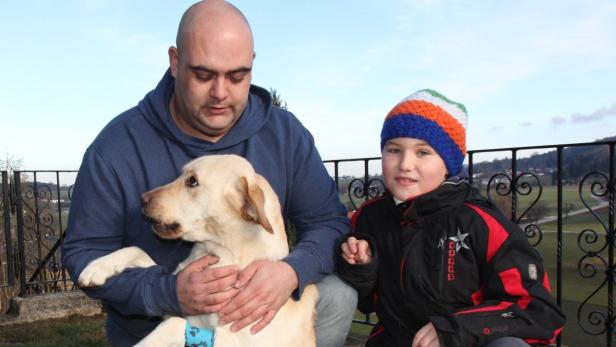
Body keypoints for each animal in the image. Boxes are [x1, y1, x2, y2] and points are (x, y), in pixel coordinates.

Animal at [77, 156, 318, 347]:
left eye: (192, 181)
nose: (141, 199)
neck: (220, 253)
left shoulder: (227, 339)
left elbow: (174, 325)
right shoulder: (173, 304)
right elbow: (136, 249)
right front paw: (97, 267)